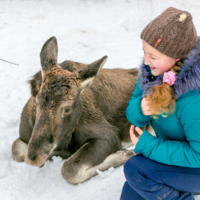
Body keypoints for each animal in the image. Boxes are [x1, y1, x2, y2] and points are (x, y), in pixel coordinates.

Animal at [11, 36, 152, 184]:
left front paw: (125, 154)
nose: (35, 158)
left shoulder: (110, 136)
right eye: (37, 101)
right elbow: (17, 150)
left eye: (67, 108)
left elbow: (69, 170)